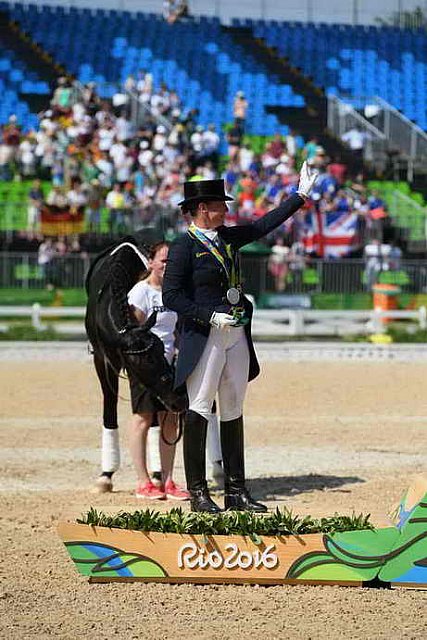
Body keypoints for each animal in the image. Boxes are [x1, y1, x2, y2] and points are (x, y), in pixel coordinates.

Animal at [85, 238, 187, 492]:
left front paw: (158, 474)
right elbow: (109, 403)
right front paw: (105, 475)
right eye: (147, 358)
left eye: (161, 350)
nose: (178, 398)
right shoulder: (102, 360)